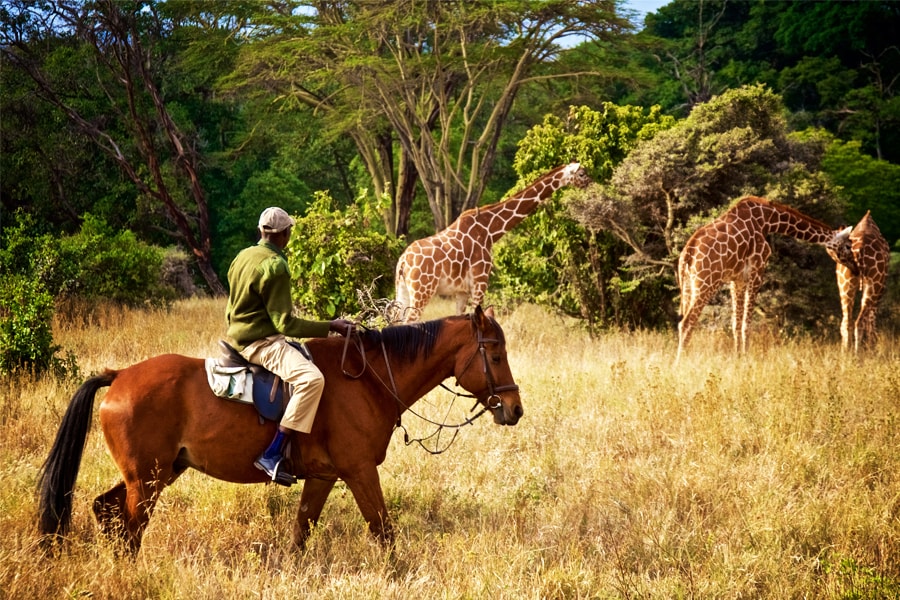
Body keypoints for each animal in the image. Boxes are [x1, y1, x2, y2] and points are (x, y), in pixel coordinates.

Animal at [38, 308, 520, 556]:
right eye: (495, 354)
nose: (514, 409)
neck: (369, 378)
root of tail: (119, 376)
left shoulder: (324, 476)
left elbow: (301, 531)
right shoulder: (360, 470)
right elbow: (383, 530)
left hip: (160, 472)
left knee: (107, 510)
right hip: (148, 480)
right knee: (132, 527)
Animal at [392, 162, 592, 324]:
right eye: (582, 173)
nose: (592, 185)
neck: (490, 231)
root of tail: (403, 261)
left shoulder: (462, 291)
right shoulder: (480, 283)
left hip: (402, 290)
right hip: (422, 290)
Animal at [676, 197, 856, 358]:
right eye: (848, 246)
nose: (855, 267)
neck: (769, 220)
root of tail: (687, 254)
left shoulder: (737, 279)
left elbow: (736, 323)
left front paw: (737, 357)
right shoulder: (757, 270)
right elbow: (747, 324)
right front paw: (746, 357)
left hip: (688, 285)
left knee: (684, 321)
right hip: (706, 283)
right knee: (686, 322)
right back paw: (680, 363)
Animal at [832, 211, 888, 352]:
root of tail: (860, 251)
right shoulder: (880, 288)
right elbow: (872, 319)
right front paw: (872, 347)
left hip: (845, 285)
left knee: (847, 321)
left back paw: (846, 354)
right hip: (873, 284)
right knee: (860, 321)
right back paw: (858, 355)